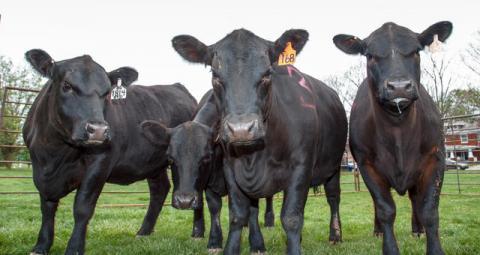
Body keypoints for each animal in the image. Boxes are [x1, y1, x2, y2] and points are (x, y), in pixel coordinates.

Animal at [23, 48, 196, 254]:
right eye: (67, 85)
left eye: (106, 93)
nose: (98, 129)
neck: (55, 152)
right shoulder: (39, 169)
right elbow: (47, 207)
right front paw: (41, 245)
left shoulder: (100, 163)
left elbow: (82, 208)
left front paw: (74, 248)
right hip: (153, 162)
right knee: (160, 189)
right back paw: (143, 232)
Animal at [142, 89, 274, 251]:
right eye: (170, 158)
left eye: (206, 158)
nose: (184, 201)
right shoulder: (208, 184)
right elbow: (214, 207)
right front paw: (215, 241)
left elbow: (252, 209)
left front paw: (257, 243)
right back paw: (197, 232)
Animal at [171, 28, 346, 254]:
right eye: (215, 76)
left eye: (267, 74)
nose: (241, 129)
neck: (255, 157)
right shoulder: (230, 170)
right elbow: (237, 215)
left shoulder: (301, 167)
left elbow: (291, 218)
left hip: (334, 167)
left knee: (333, 197)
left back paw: (335, 235)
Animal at [332, 20, 452, 254]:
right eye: (370, 55)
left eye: (416, 51)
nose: (398, 87)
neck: (398, 131)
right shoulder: (366, 164)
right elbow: (385, 209)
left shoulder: (435, 159)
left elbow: (429, 210)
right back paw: (378, 230)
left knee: (415, 199)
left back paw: (417, 230)